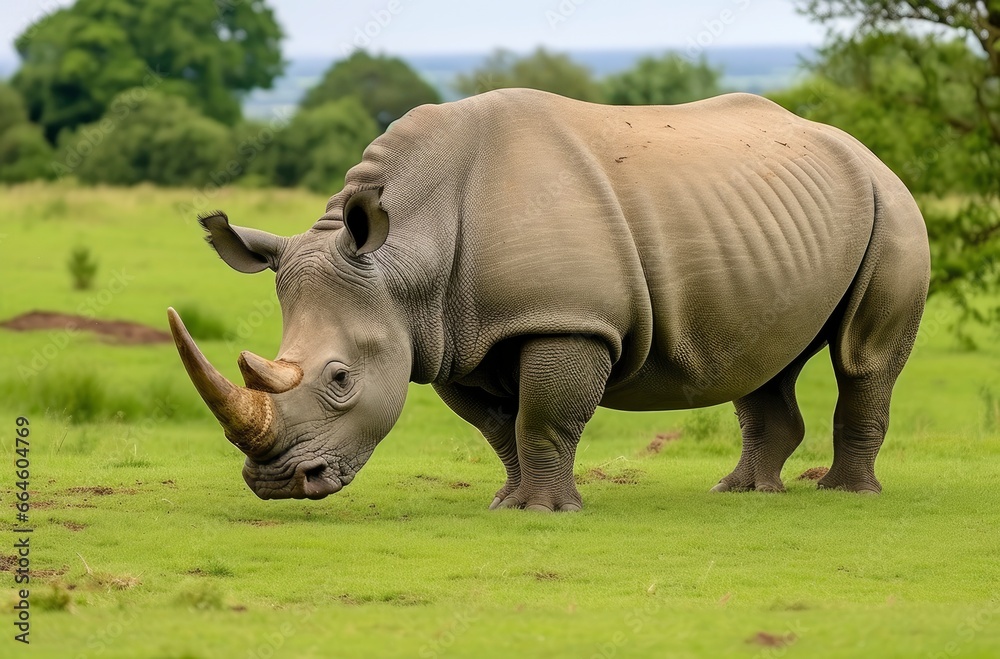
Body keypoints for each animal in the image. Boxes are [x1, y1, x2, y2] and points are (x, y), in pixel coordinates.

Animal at [168, 89, 929, 511]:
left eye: (341, 378)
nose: (277, 483)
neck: (405, 256)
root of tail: (864, 149)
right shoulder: (450, 335)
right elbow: (500, 428)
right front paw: (507, 502)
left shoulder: (566, 321)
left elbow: (544, 416)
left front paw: (545, 511)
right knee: (764, 359)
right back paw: (740, 493)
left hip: (891, 205)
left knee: (862, 358)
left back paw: (846, 495)